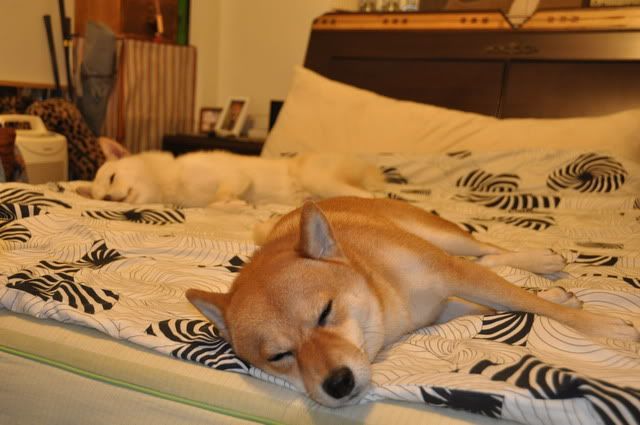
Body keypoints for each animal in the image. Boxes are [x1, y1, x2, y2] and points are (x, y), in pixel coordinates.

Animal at [186, 197, 640, 408]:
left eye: (325, 313)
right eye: (280, 355)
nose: (338, 384)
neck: (388, 300)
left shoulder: (451, 276)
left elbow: (533, 306)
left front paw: (605, 328)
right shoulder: (445, 304)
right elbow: (510, 305)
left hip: (443, 239)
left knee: (487, 250)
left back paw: (541, 262)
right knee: (490, 260)